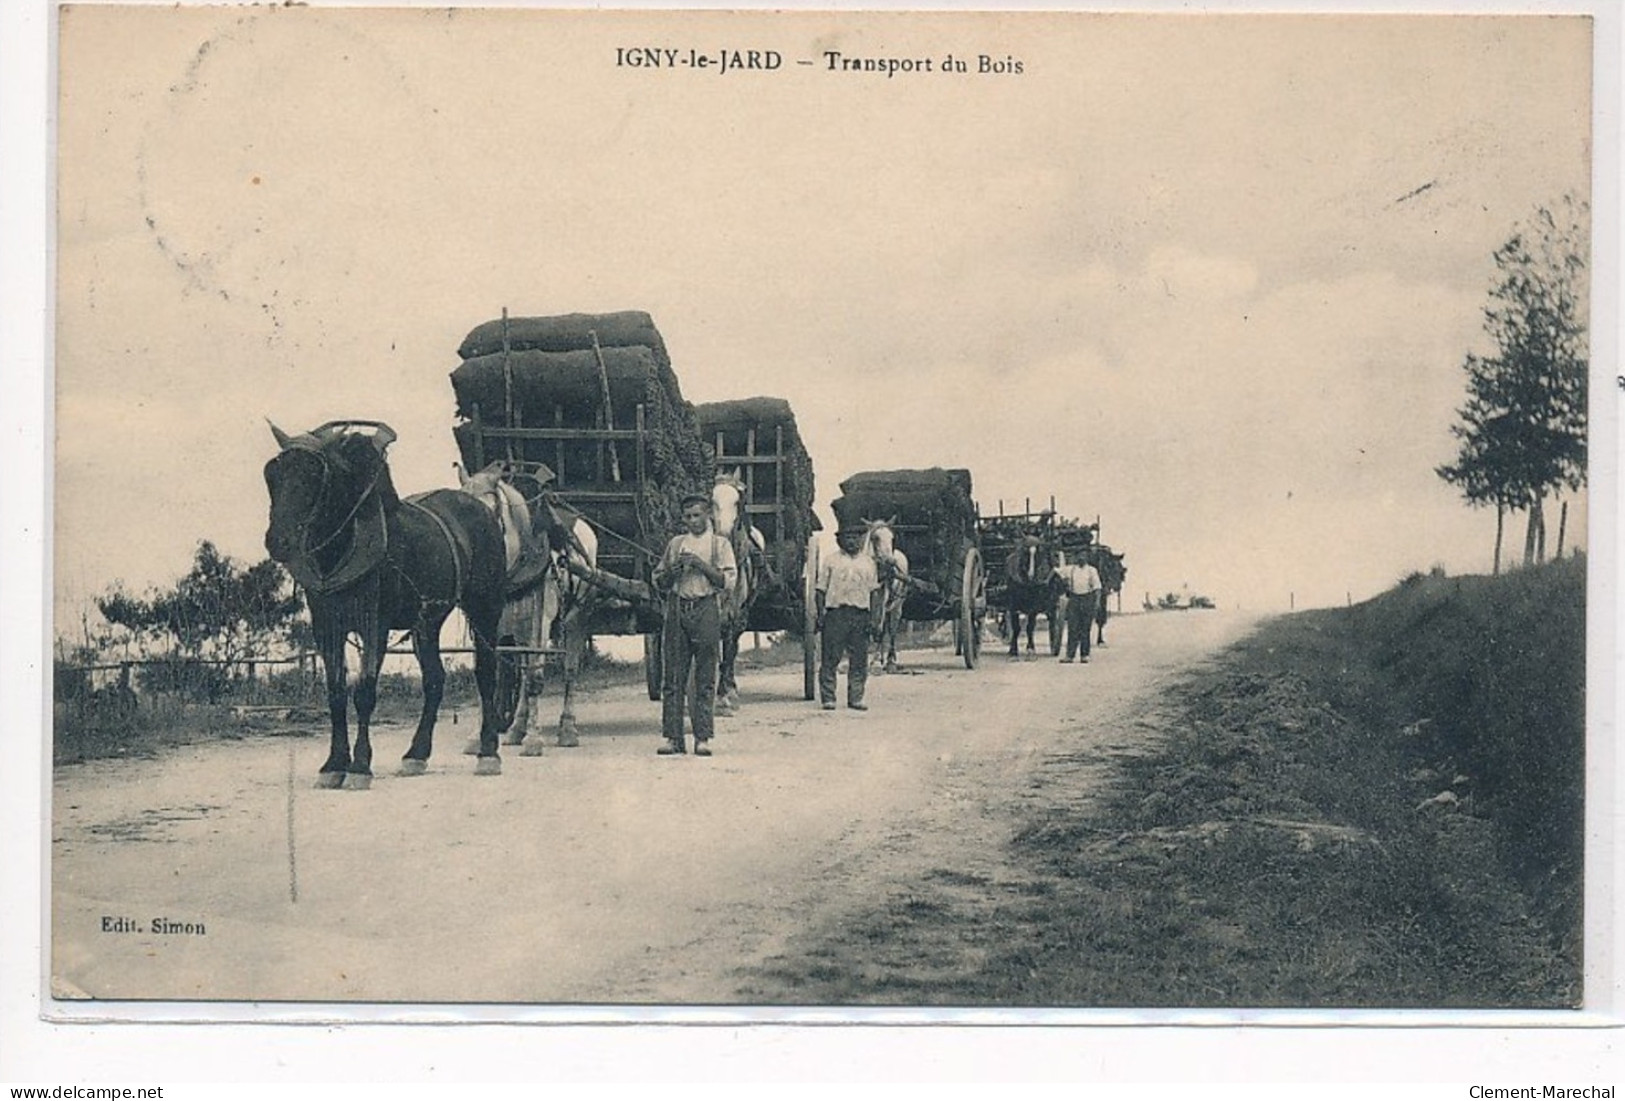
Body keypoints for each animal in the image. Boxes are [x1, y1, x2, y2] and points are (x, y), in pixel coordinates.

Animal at [261, 418, 507, 789]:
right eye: (271, 473)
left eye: (315, 474)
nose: (278, 540)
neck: (342, 549)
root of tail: (480, 508)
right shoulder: (326, 628)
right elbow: (336, 693)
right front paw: (334, 764)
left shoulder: (373, 625)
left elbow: (364, 693)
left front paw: (360, 766)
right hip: (427, 622)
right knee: (435, 680)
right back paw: (416, 754)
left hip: (484, 609)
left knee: (487, 673)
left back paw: (488, 751)